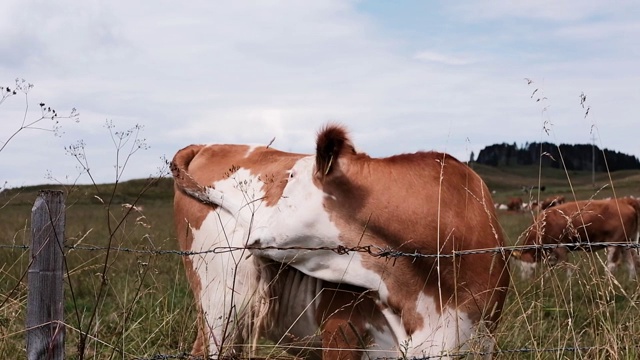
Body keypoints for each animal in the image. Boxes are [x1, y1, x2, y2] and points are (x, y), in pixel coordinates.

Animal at [512, 197, 640, 278]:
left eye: (524, 267)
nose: (524, 280)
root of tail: (624, 201)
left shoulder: (561, 247)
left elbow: (566, 266)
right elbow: (550, 268)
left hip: (614, 242)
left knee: (612, 265)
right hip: (628, 242)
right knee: (632, 262)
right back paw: (631, 281)